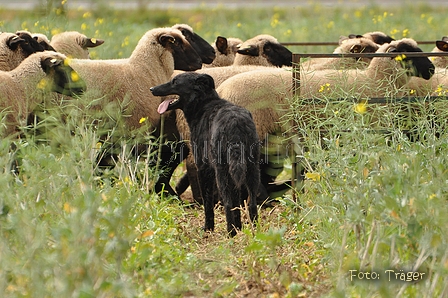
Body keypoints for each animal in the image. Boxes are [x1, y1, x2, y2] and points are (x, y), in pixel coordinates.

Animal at [151, 73, 260, 237]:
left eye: (175, 81)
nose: (152, 89)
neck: (203, 105)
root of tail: (235, 123)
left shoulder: (204, 168)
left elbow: (207, 203)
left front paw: (208, 229)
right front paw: (239, 229)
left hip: (223, 173)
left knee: (227, 203)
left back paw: (230, 234)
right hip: (250, 170)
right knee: (251, 204)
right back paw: (255, 233)